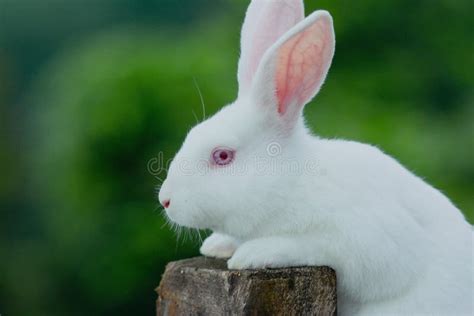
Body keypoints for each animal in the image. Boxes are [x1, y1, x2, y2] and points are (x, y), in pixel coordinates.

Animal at [160, 1, 474, 314]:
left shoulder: (369, 240)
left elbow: (310, 246)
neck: (291, 182)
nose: (165, 200)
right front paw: (216, 245)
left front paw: (252, 254)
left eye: (222, 155)